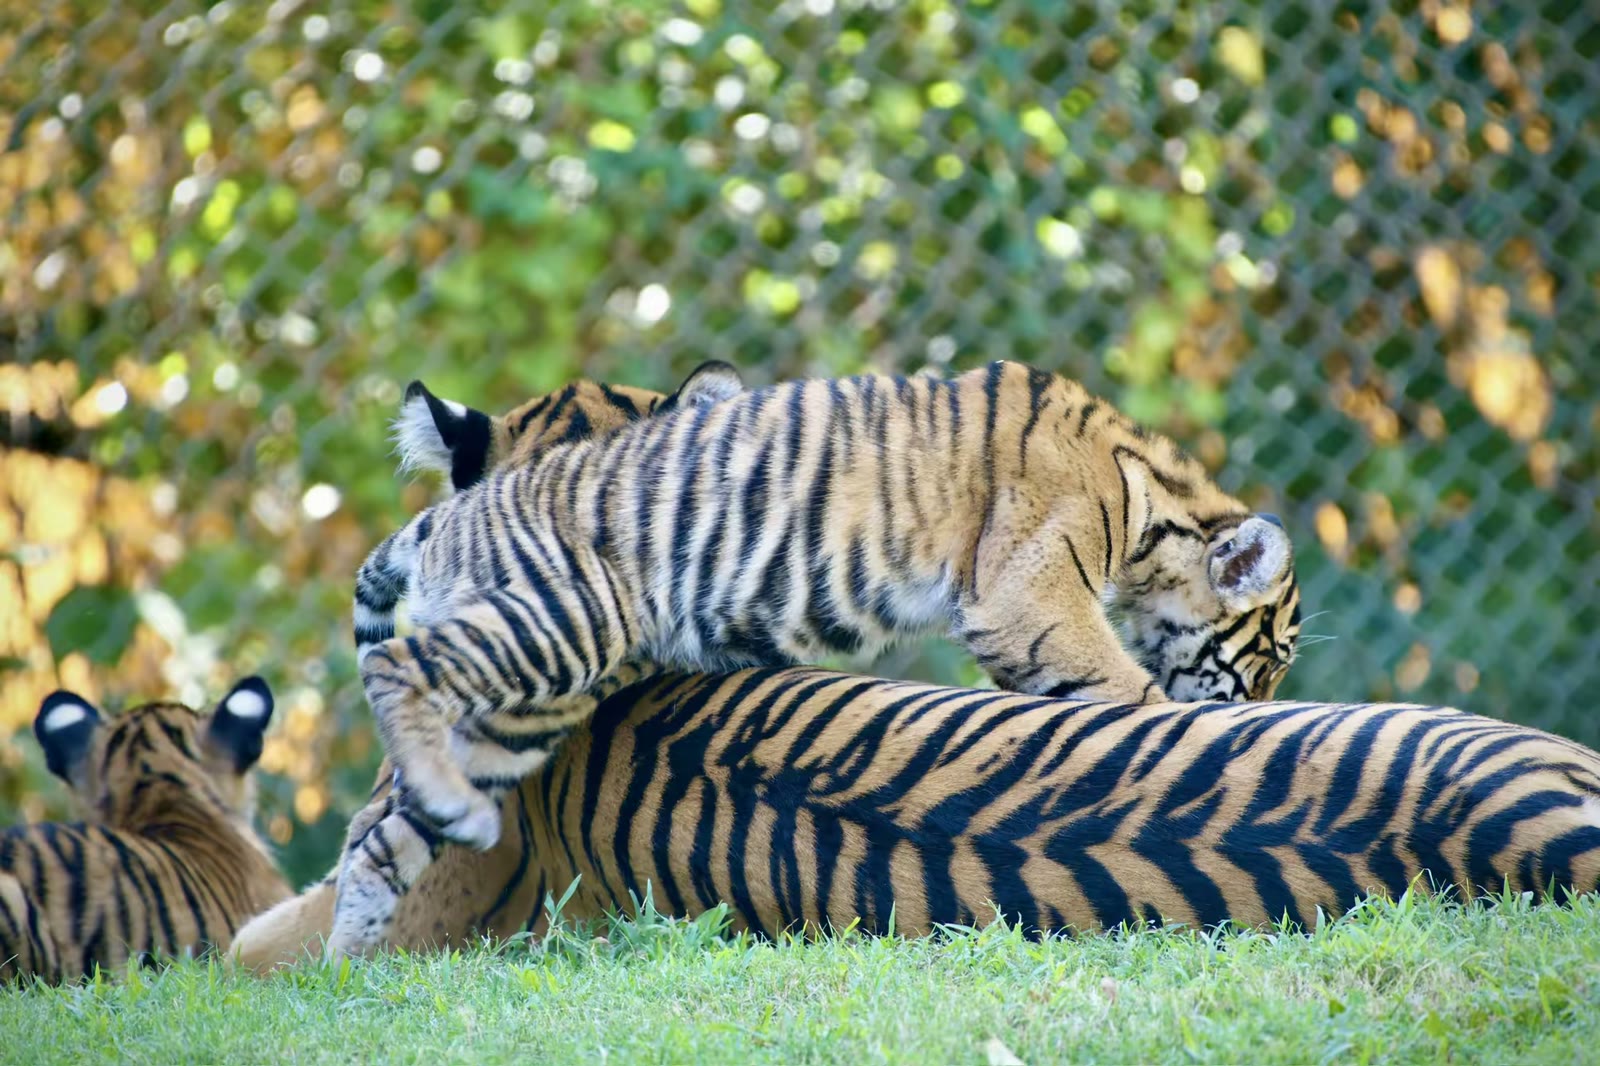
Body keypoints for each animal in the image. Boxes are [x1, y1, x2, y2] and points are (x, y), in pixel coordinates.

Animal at [331, 360, 1302, 955]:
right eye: (1271, 657)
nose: (1256, 708)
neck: (1151, 507)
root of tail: (451, 515)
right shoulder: (1030, 599)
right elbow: (1129, 693)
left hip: (522, 711)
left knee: (381, 835)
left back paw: (353, 952)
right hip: (560, 623)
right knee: (394, 668)